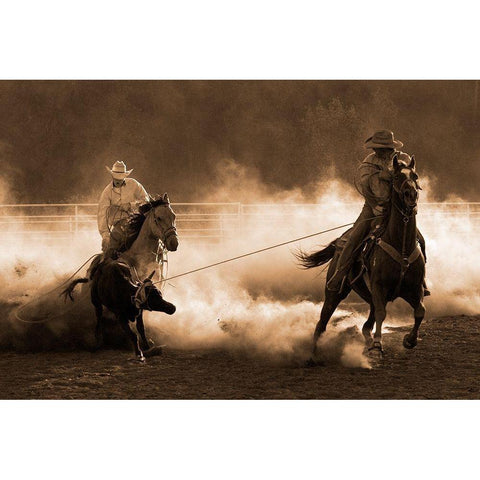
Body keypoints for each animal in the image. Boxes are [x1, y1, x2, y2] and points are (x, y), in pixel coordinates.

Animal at [296, 156, 428, 358]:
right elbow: (382, 314)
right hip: (335, 293)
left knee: (366, 325)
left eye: (415, 175)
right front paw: (377, 346)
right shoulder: (379, 287)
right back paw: (312, 356)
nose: (411, 195)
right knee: (322, 322)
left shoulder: (414, 288)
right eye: (397, 177)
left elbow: (420, 311)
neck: (402, 246)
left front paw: (409, 340)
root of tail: (341, 241)